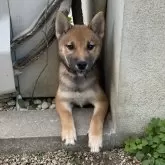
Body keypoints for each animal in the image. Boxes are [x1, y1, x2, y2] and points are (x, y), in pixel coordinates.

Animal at [54, 10, 107, 152]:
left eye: (90, 46)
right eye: (70, 46)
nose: (82, 64)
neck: (78, 79)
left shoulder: (102, 100)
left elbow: (96, 118)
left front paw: (95, 139)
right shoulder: (61, 100)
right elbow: (66, 115)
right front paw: (69, 134)